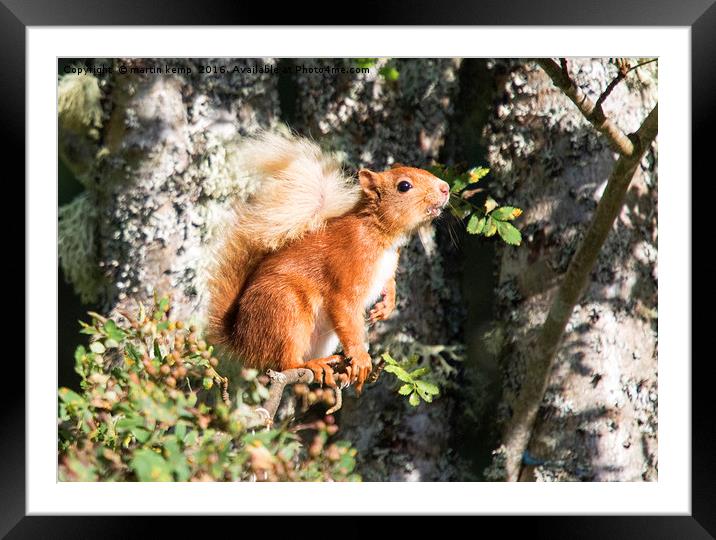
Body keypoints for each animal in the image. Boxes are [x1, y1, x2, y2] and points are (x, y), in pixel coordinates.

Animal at [207, 131, 448, 392]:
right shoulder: (347, 272)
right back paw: (312, 365)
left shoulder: (387, 268)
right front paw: (361, 357)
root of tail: (241, 338)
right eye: (404, 186)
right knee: (286, 361)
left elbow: (389, 282)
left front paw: (387, 306)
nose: (445, 188)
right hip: (286, 310)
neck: (379, 235)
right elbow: (346, 311)